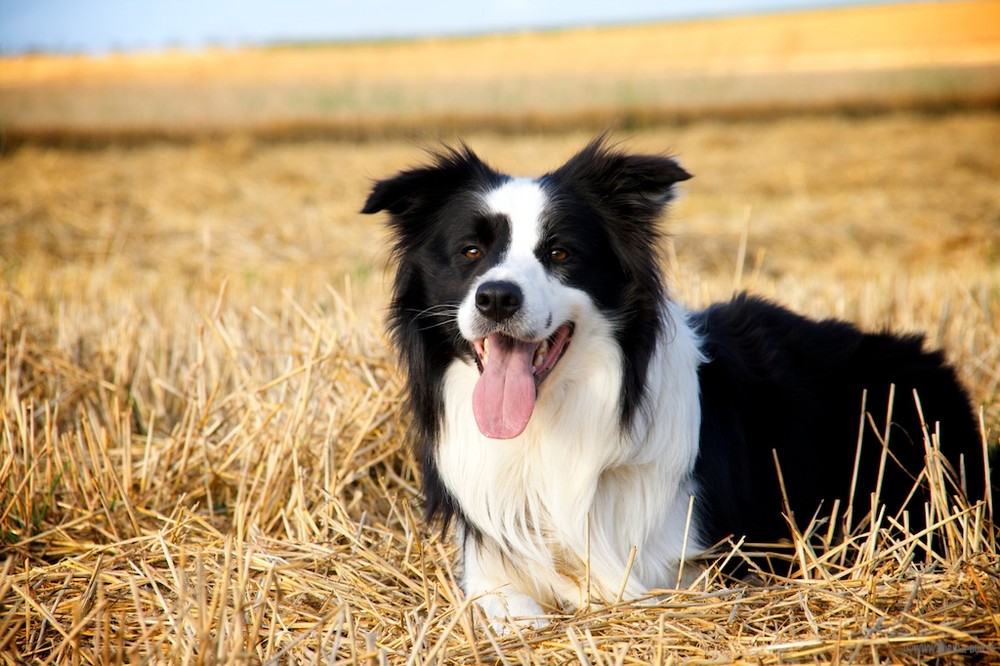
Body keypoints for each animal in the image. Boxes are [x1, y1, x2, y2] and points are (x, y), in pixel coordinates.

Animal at [362, 136, 992, 628]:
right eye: (470, 251)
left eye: (560, 252)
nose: (496, 298)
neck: (550, 424)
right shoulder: (491, 564)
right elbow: (506, 604)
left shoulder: (705, 565)